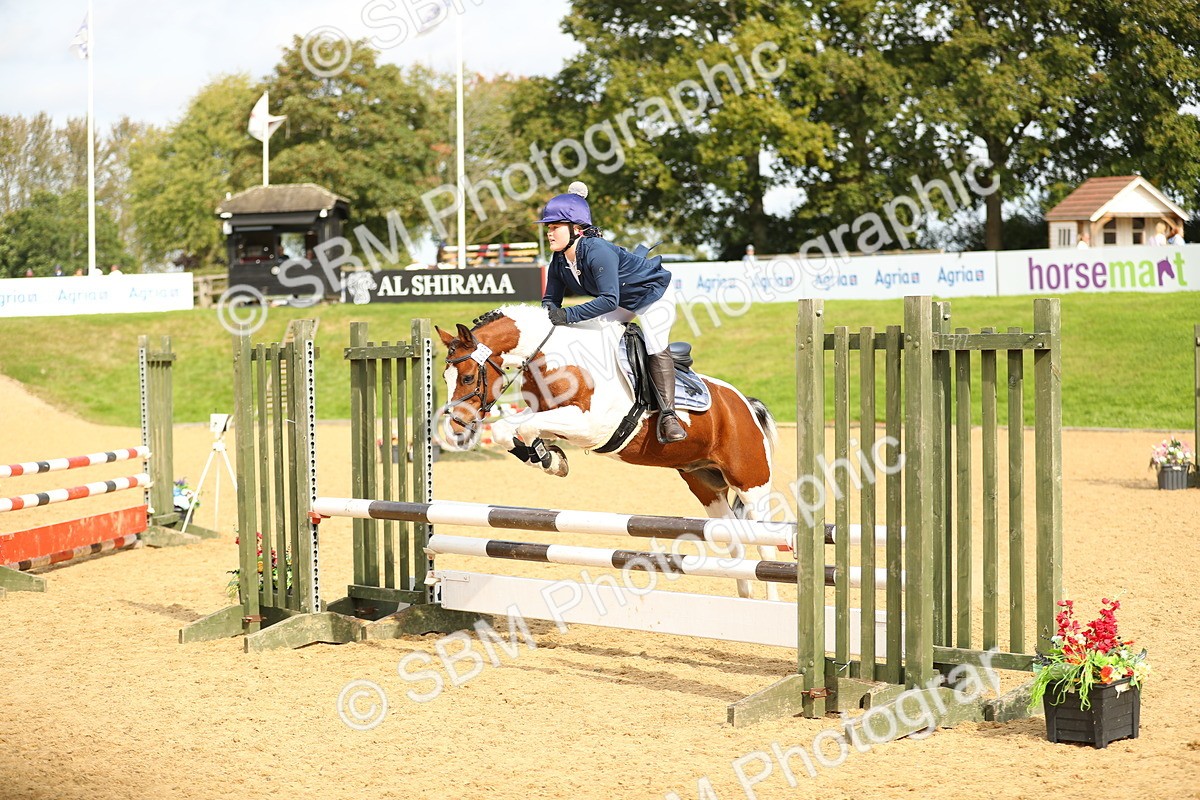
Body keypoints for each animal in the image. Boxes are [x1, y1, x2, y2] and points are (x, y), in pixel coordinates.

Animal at [435, 304, 783, 599]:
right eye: (445, 377)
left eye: (467, 376)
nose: (456, 427)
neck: (555, 357)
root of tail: (744, 404)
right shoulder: (552, 416)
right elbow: (510, 429)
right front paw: (551, 459)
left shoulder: (589, 425)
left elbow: (524, 427)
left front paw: (547, 456)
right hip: (705, 483)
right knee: (733, 541)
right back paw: (745, 600)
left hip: (750, 481)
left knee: (765, 545)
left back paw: (769, 605)